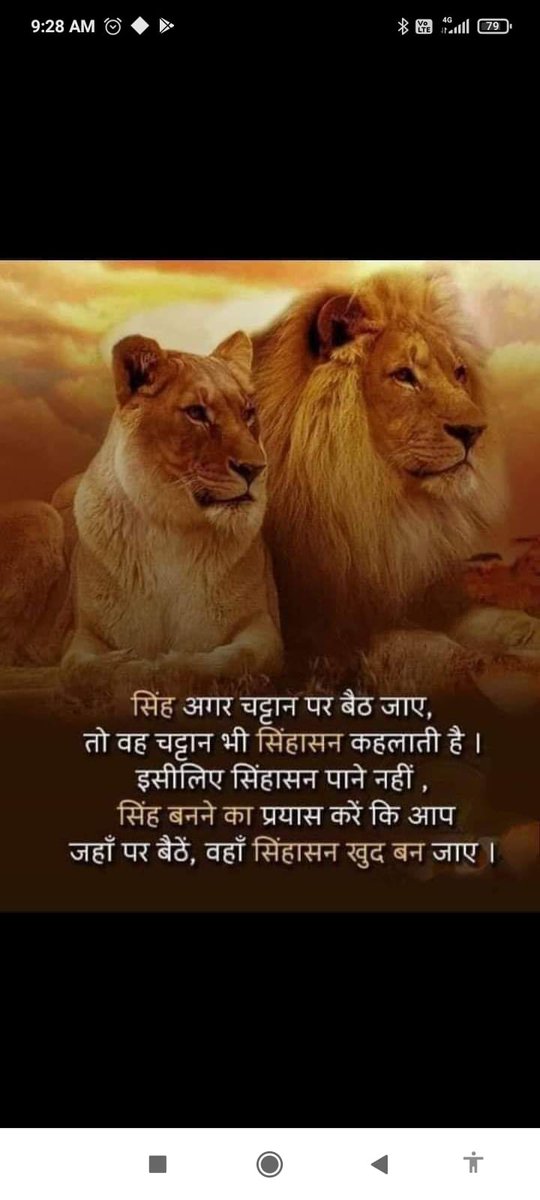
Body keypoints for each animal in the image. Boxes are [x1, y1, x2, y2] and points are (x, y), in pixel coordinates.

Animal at [0, 330, 283, 698]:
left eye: (248, 412)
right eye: (196, 413)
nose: (256, 469)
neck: (171, 525)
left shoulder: (263, 627)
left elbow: (237, 660)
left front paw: (169, 668)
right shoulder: (84, 634)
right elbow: (77, 669)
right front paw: (125, 666)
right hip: (41, 516)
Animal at [251, 267, 540, 694]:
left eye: (459, 373)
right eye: (404, 375)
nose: (475, 431)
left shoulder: (427, 601)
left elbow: (504, 621)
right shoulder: (319, 646)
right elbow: (441, 651)